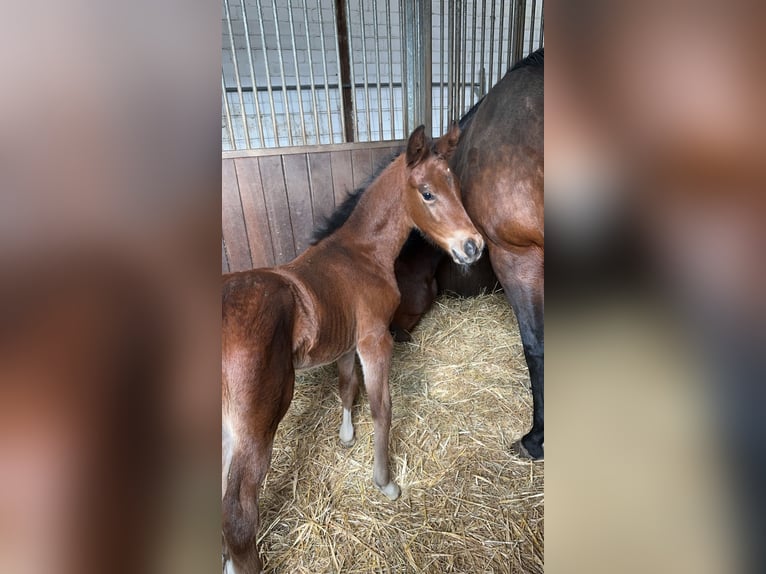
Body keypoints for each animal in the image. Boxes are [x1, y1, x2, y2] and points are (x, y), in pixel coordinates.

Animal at [224, 124, 486, 572]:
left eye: (456, 187)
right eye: (427, 192)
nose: (474, 246)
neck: (363, 253)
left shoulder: (348, 344)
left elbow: (347, 387)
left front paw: (346, 436)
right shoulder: (375, 339)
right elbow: (382, 406)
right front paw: (385, 482)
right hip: (255, 427)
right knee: (239, 518)